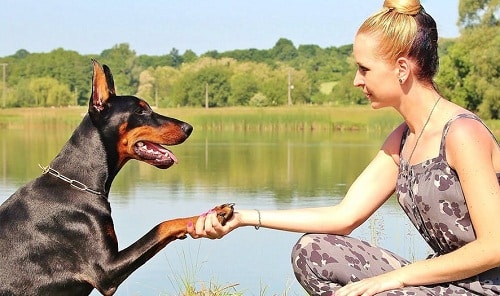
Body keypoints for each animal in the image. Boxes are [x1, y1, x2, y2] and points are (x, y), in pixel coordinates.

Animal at [0, 60, 234, 296]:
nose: (189, 127)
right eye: (141, 110)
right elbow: (162, 225)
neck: (78, 184)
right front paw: (213, 214)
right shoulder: (106, 270)